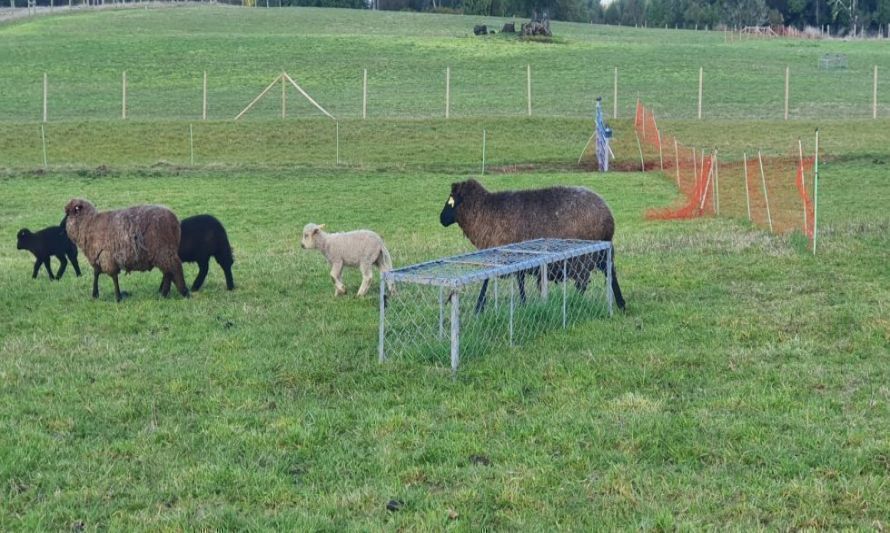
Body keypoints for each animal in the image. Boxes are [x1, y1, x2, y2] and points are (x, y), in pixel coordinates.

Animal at [438, 179, 624, 312]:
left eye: (450, 201)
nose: (441, 219)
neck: (484, 212)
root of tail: (608, 217)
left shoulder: (502, 251)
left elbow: (486, 280)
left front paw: (478, 307)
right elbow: (519, 281)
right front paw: (524, 303)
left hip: (582, 258)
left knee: (583, 282)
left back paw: (575, 302)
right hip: (602, 254)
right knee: (611, 274)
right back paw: (621, 304)